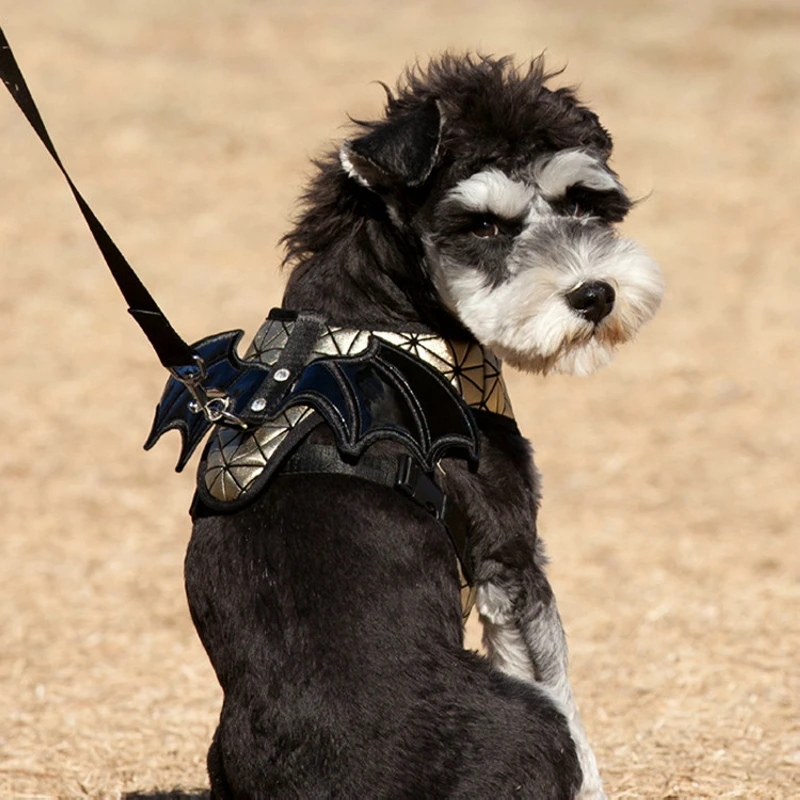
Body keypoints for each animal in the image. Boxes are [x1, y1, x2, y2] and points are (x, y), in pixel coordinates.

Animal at [184, 53, 664, 796]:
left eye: (583, 202)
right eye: (485, 227)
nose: (595, 295)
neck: (382, 308)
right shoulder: (509, 553)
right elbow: (561, 689)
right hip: (531, 724)